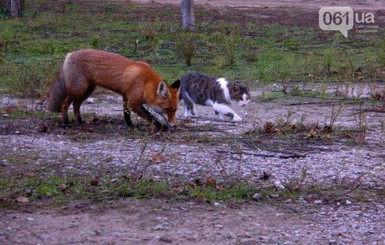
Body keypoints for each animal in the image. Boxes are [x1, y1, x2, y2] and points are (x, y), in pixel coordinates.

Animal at [47, 48, 180, 131]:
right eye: (168, 109)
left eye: (175, 110)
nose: (175, 125)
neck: (145, 82)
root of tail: (69, 54)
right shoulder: (133, 102)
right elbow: (150, 116)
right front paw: (162, 127)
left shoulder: (125, 96)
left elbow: (126, 114)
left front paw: (130, 126)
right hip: (78, 89)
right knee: (64, 104)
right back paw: (65, 123)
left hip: (88, 90)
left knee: (75, 105)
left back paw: (80, 121)